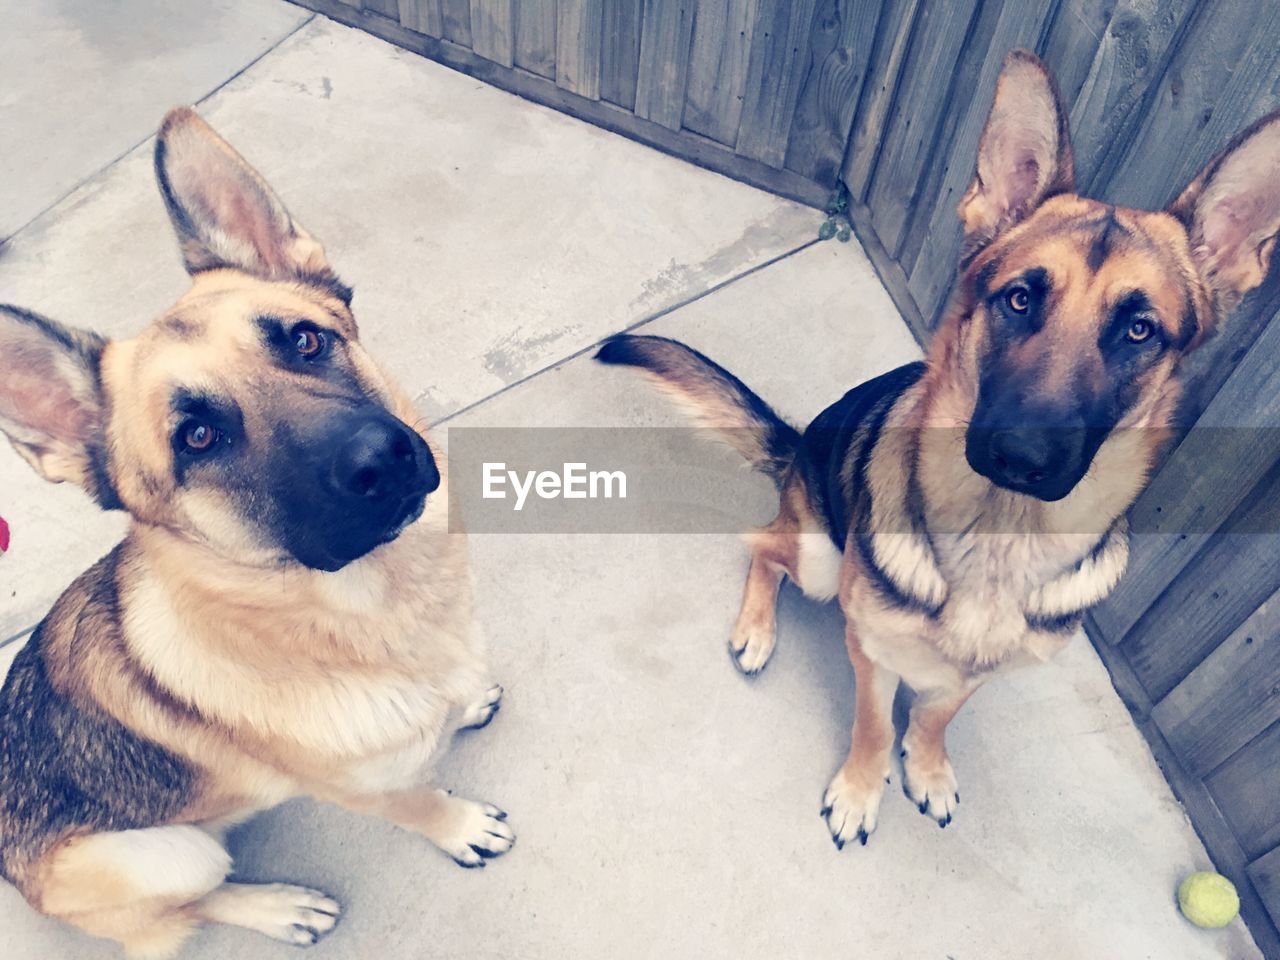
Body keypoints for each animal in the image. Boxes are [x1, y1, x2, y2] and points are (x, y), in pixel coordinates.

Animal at [0, 110, 512, 957]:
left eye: (306, 340)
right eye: (198, 437)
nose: (381, 460)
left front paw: (463, 701)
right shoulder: (367, 791)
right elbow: (419, 802)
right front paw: (460, 824)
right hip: (168, 853)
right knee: (193, 904)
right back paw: (277, 906)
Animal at [599, 52, 1280, 849]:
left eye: (1139, 330)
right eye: (1019, 298)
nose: (1021, 455)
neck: (999, 539)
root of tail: (800, 449)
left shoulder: (976, 671)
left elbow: (936, 716)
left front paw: (924, 766)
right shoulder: (873, 647)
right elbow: (870, 726)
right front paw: (861, 791)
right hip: (821, 559)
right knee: (762, 546)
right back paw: (757, 631)